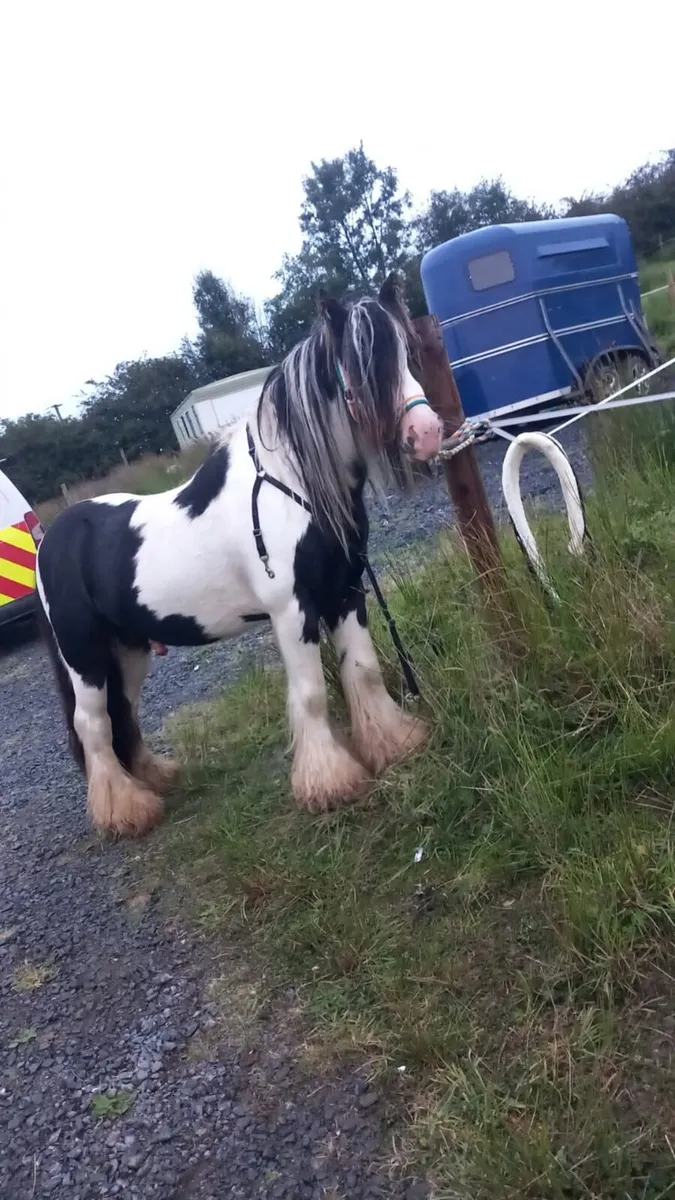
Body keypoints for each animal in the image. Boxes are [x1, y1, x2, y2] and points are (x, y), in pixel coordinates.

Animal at [36, 274, 443, 838]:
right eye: (362, 365)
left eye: (407, 352)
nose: (426, 434)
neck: (293, 484)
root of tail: (51, 539)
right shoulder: (293, 609)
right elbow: (312, 692)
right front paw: (330, 784)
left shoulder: (345, 592)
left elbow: (362, 669)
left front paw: (393, 744)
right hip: (85, 655)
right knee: (92, 723)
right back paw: (125, 812)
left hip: (129, 649)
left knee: (125, 713)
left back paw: (154, 780)